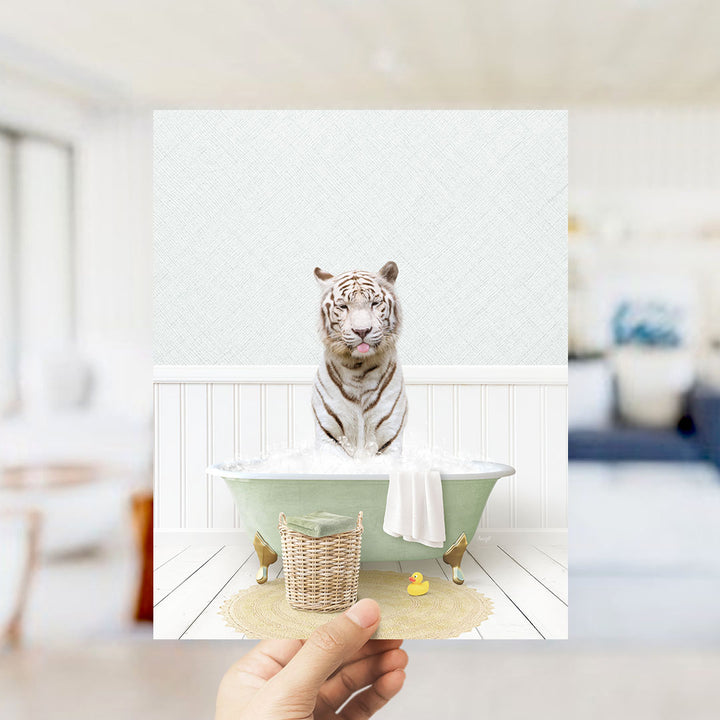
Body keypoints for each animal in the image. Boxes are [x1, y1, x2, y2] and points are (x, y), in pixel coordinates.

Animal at [311, 261, 408, 457]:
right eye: (343, 306)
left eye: (375, 303)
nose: (362, 331)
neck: (359, 369)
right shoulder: (329, 435)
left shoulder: (389, 436)